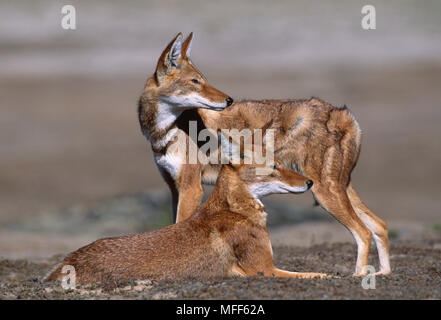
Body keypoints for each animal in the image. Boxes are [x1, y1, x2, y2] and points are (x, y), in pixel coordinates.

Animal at [137, 33, 388, 276]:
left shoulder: (191, 188)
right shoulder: (174, 187)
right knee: (380, 226)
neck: (164, 132)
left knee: (364, 232)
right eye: (195, 81)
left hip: (324, 192)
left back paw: (359, 276)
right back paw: (383, 272)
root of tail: (343, 114)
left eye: (203, 79)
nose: (228, 100)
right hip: (339, 190)